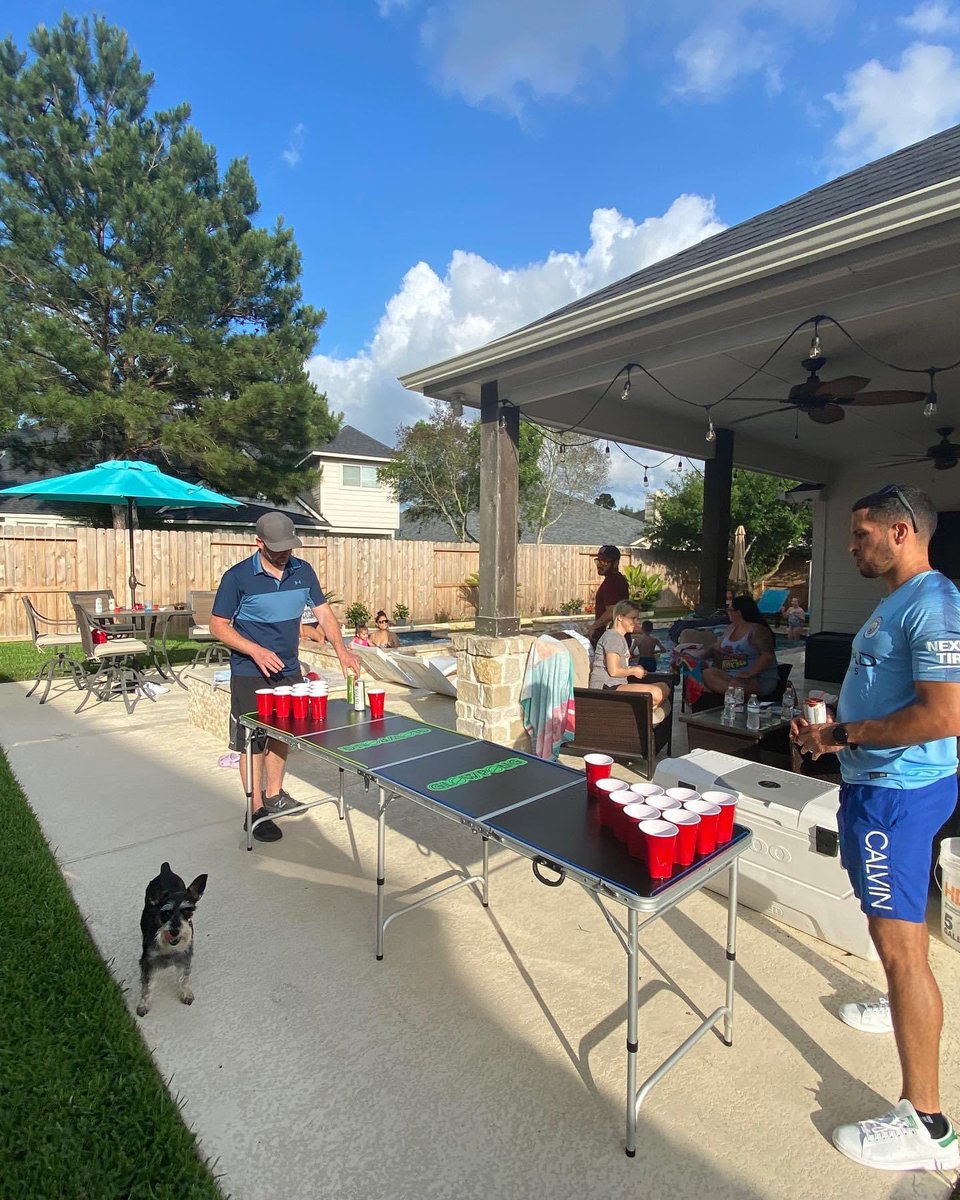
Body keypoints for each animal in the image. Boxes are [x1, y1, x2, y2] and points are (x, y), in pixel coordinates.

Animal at [136, 859, 207, 1017]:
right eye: (166, 913)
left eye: (188, 911)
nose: (175, 931)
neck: (169, 947)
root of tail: (165, 869)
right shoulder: (148, 963)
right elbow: (147, 987)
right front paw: (143, 1006)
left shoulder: (184, 958)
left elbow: (184, 979)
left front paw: (186, 994)